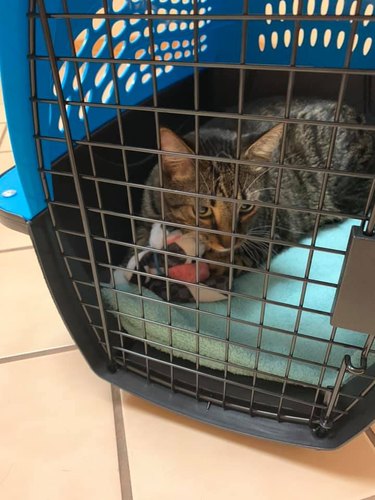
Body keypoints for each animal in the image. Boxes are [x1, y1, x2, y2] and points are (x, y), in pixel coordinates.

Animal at [134, 97, 374, 278]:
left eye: (246, 207)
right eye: (202, 210)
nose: (228, 243)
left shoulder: (275, 227)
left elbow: (243, 254)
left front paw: (216, 262)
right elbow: (139, 240)